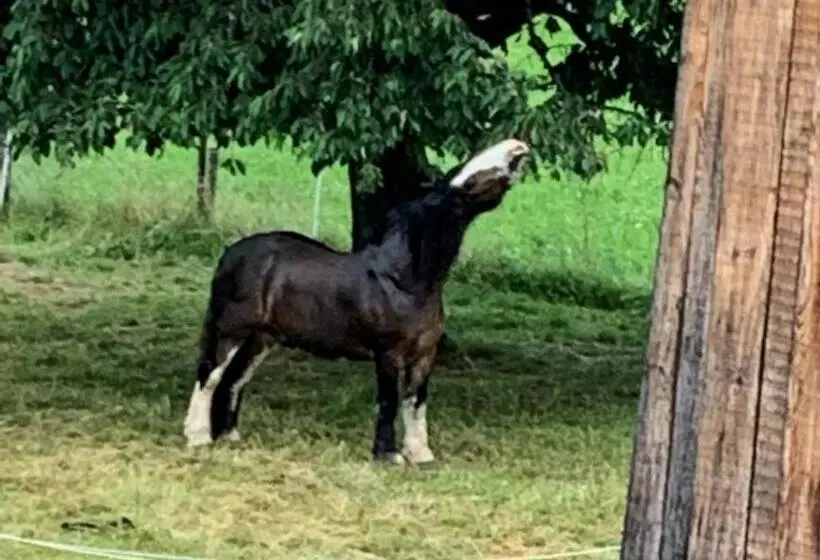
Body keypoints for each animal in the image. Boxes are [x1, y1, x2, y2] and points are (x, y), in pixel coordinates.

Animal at [183, 138, 531, 466]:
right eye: (468, 177)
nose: (517, 147)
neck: (403, 281)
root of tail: (231, 253)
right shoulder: (388, 354)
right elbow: (389, 401)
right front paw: (388, 455)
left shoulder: (424, 355)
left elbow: (415, 402)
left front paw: (420, 454)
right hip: (231, 332)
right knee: (210, 376)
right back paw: (198, 437)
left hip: (262, 339)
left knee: (235, 380)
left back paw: (229, 436)